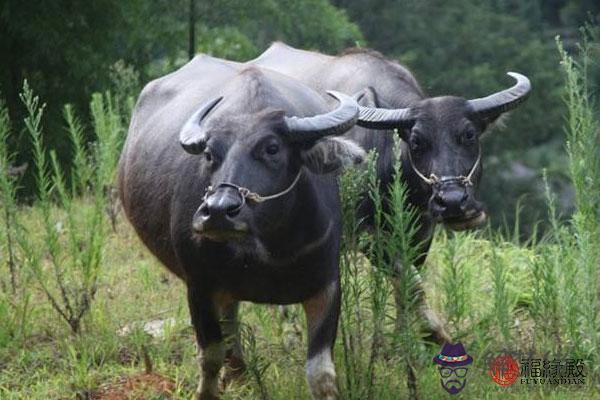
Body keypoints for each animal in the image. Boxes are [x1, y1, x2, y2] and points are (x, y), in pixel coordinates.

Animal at [116, 57, 364, 398]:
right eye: (209, 154)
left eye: (272, 148)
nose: (219, 211)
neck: (270, 250)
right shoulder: (199, 285)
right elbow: (210, 356)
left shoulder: (326, 285)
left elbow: (321, 373)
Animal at [251, 43, 532, 344]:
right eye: (417, 141)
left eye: (469, 135)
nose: (453, 202)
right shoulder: (367, 234)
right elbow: (409, 279)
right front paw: (433, 330)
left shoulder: (421, 231)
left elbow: (407, 283)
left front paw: (403, 336)